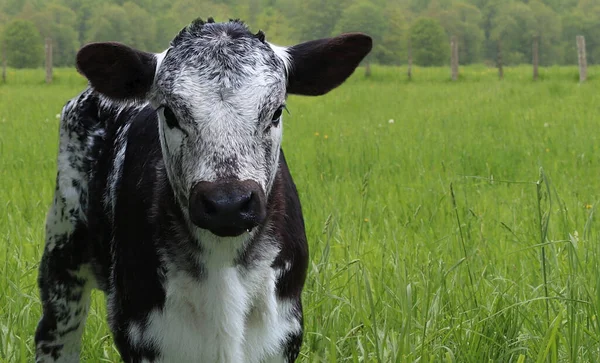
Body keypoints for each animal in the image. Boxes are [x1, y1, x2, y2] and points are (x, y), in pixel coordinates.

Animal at [35, 18, 370, 362]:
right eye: (169, 112)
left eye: (276, 111)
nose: (228, 204)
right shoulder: (140, 330)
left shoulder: (284, 331)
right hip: (62, 252)